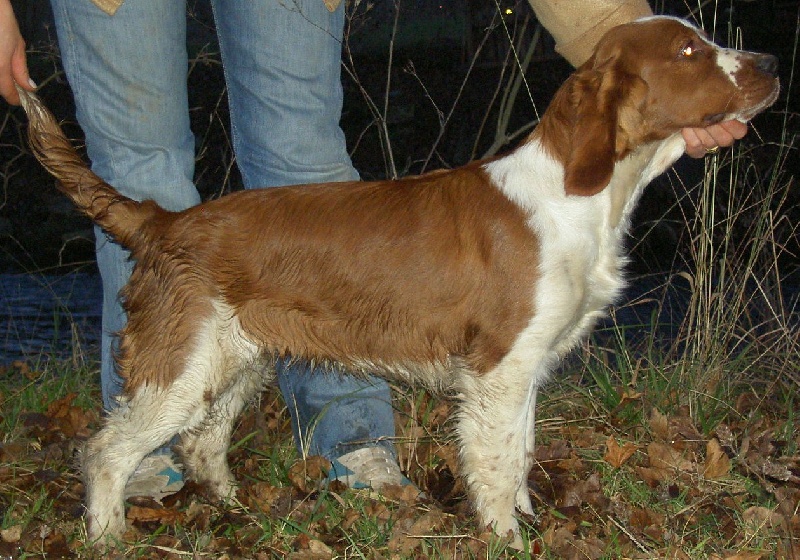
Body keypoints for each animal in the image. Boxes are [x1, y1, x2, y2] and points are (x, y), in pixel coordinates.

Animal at [18, 15, 778, 548]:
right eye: (689, 52)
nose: (770, 62)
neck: (578, 193)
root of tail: (163, 220)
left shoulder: (524, 369)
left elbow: (521, 455)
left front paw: (528, 522)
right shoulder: (497, 368)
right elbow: (497, 465)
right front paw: (506, 539)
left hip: (236, 357)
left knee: (202, 442)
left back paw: (239, 513)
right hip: (179, 362)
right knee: (107, 449)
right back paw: (108, 535)